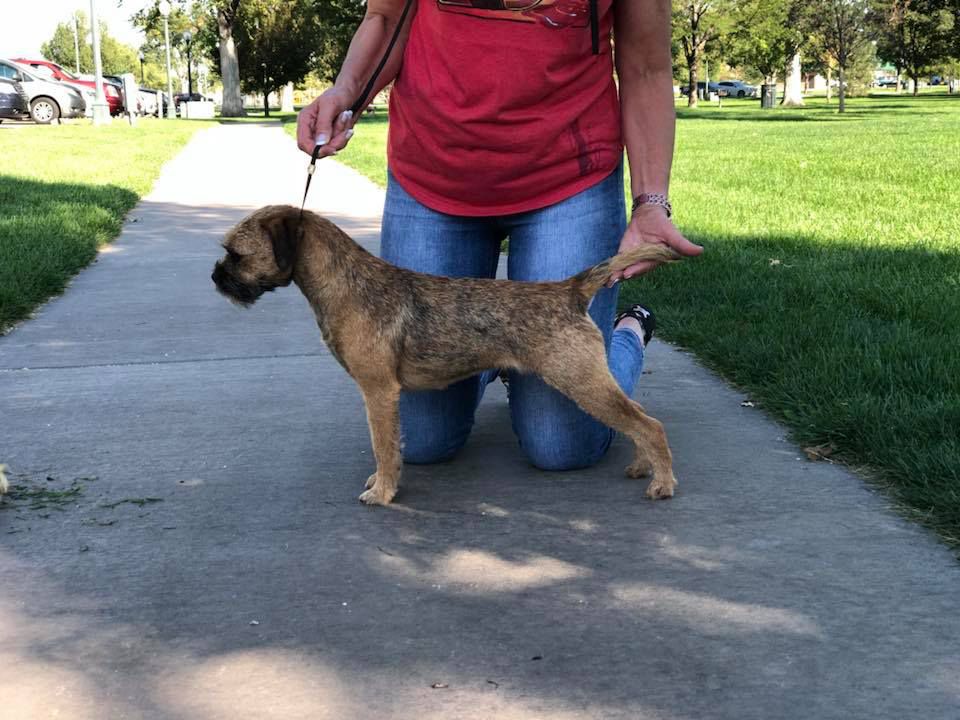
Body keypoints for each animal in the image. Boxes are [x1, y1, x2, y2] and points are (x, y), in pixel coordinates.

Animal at [214, 205, 680, 504]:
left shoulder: (378, 392)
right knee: (639, 417)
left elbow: (384, 445)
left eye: (235, 254)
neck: (347, 283)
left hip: (580, 380)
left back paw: (662, 483)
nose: (215, 278)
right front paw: (382, 482)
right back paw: (644, 467)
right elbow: (389, 447)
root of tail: (568, 290)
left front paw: (382, 492)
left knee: (648, 424)